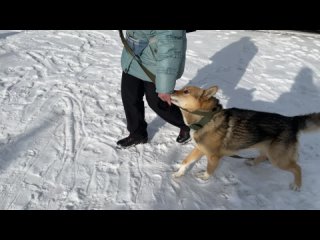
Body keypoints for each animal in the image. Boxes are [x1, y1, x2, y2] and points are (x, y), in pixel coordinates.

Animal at [170, 85, 320, 190]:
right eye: (182, 89)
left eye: (186, 91)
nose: (171, 91)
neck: (207, 117)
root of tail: (292, 121)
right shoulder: (200, 148)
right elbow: (186, 161)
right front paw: (179, 173)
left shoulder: (213, 156)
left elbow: (209, 169)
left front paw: (204, 178)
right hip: (268, 149)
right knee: (263, 156)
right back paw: (252, 162)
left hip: (278, 159)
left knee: (297, 168)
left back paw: (297, 185)